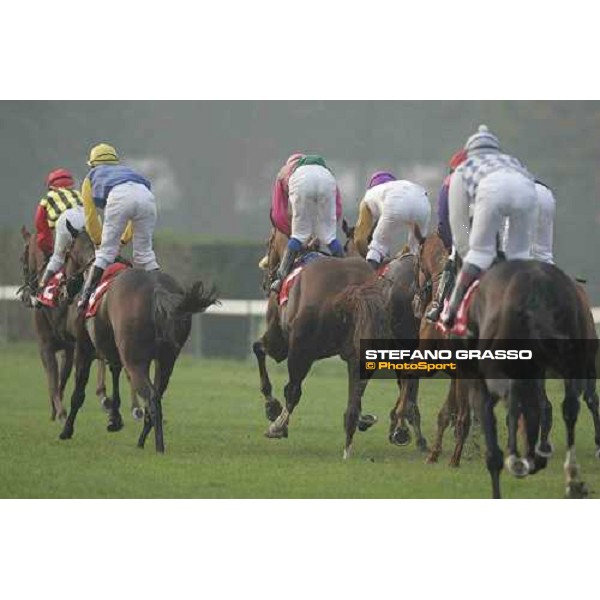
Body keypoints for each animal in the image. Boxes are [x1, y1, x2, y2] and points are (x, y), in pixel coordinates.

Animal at [58, 229, 218, 450]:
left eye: (66, 254)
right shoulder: (114, 352)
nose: (63, 288)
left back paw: (158, 446)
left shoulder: (84, 348)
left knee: (151, 396)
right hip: (166, 360)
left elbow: (78, 392)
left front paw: (66, 430)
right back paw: (142, 440)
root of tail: (158, 290)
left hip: (135, 360)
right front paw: (114, 418)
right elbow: (115, 375)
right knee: (157, 395)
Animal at [251, 227, 386, 458]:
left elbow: (258, 349)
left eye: (269, 242)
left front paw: (271, 407)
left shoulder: (280, 342)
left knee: (293, 390)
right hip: (362, 353)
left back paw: (278, 426)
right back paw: (349, 443)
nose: (266, 281)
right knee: (354, 398)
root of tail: (352, 287)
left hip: (300, 350)